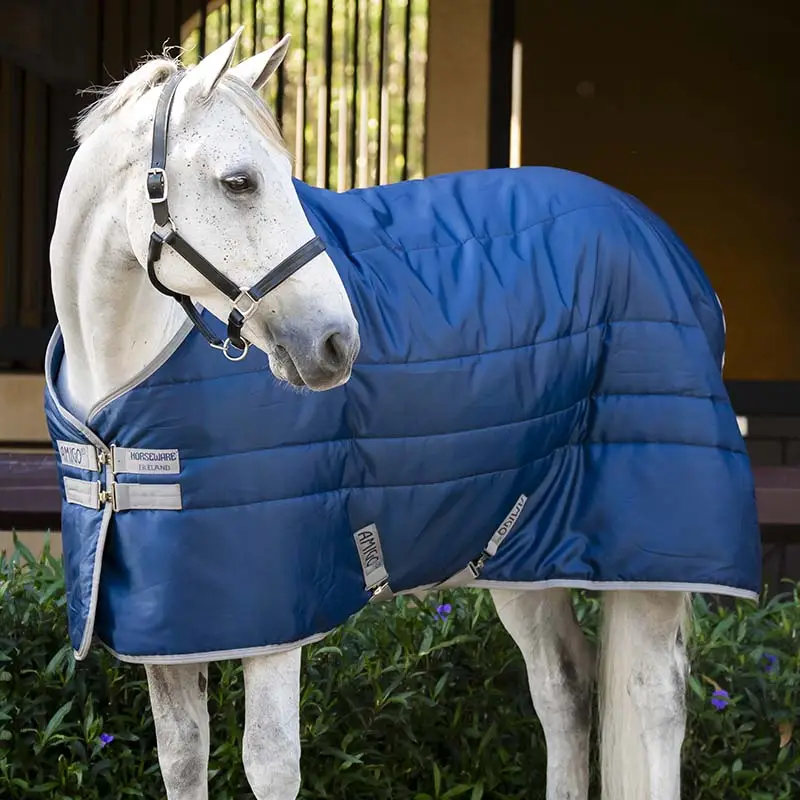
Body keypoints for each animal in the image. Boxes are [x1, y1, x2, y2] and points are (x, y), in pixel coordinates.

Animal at [46, 29, 759, 800]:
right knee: (565, 688)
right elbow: (182, 759)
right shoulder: (172, 626)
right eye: (239, 181)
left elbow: (269, 762)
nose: (336, 343)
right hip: (519, 550)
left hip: (648, 564)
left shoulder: (277, 613)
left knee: (652, 705)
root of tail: (661, 239)